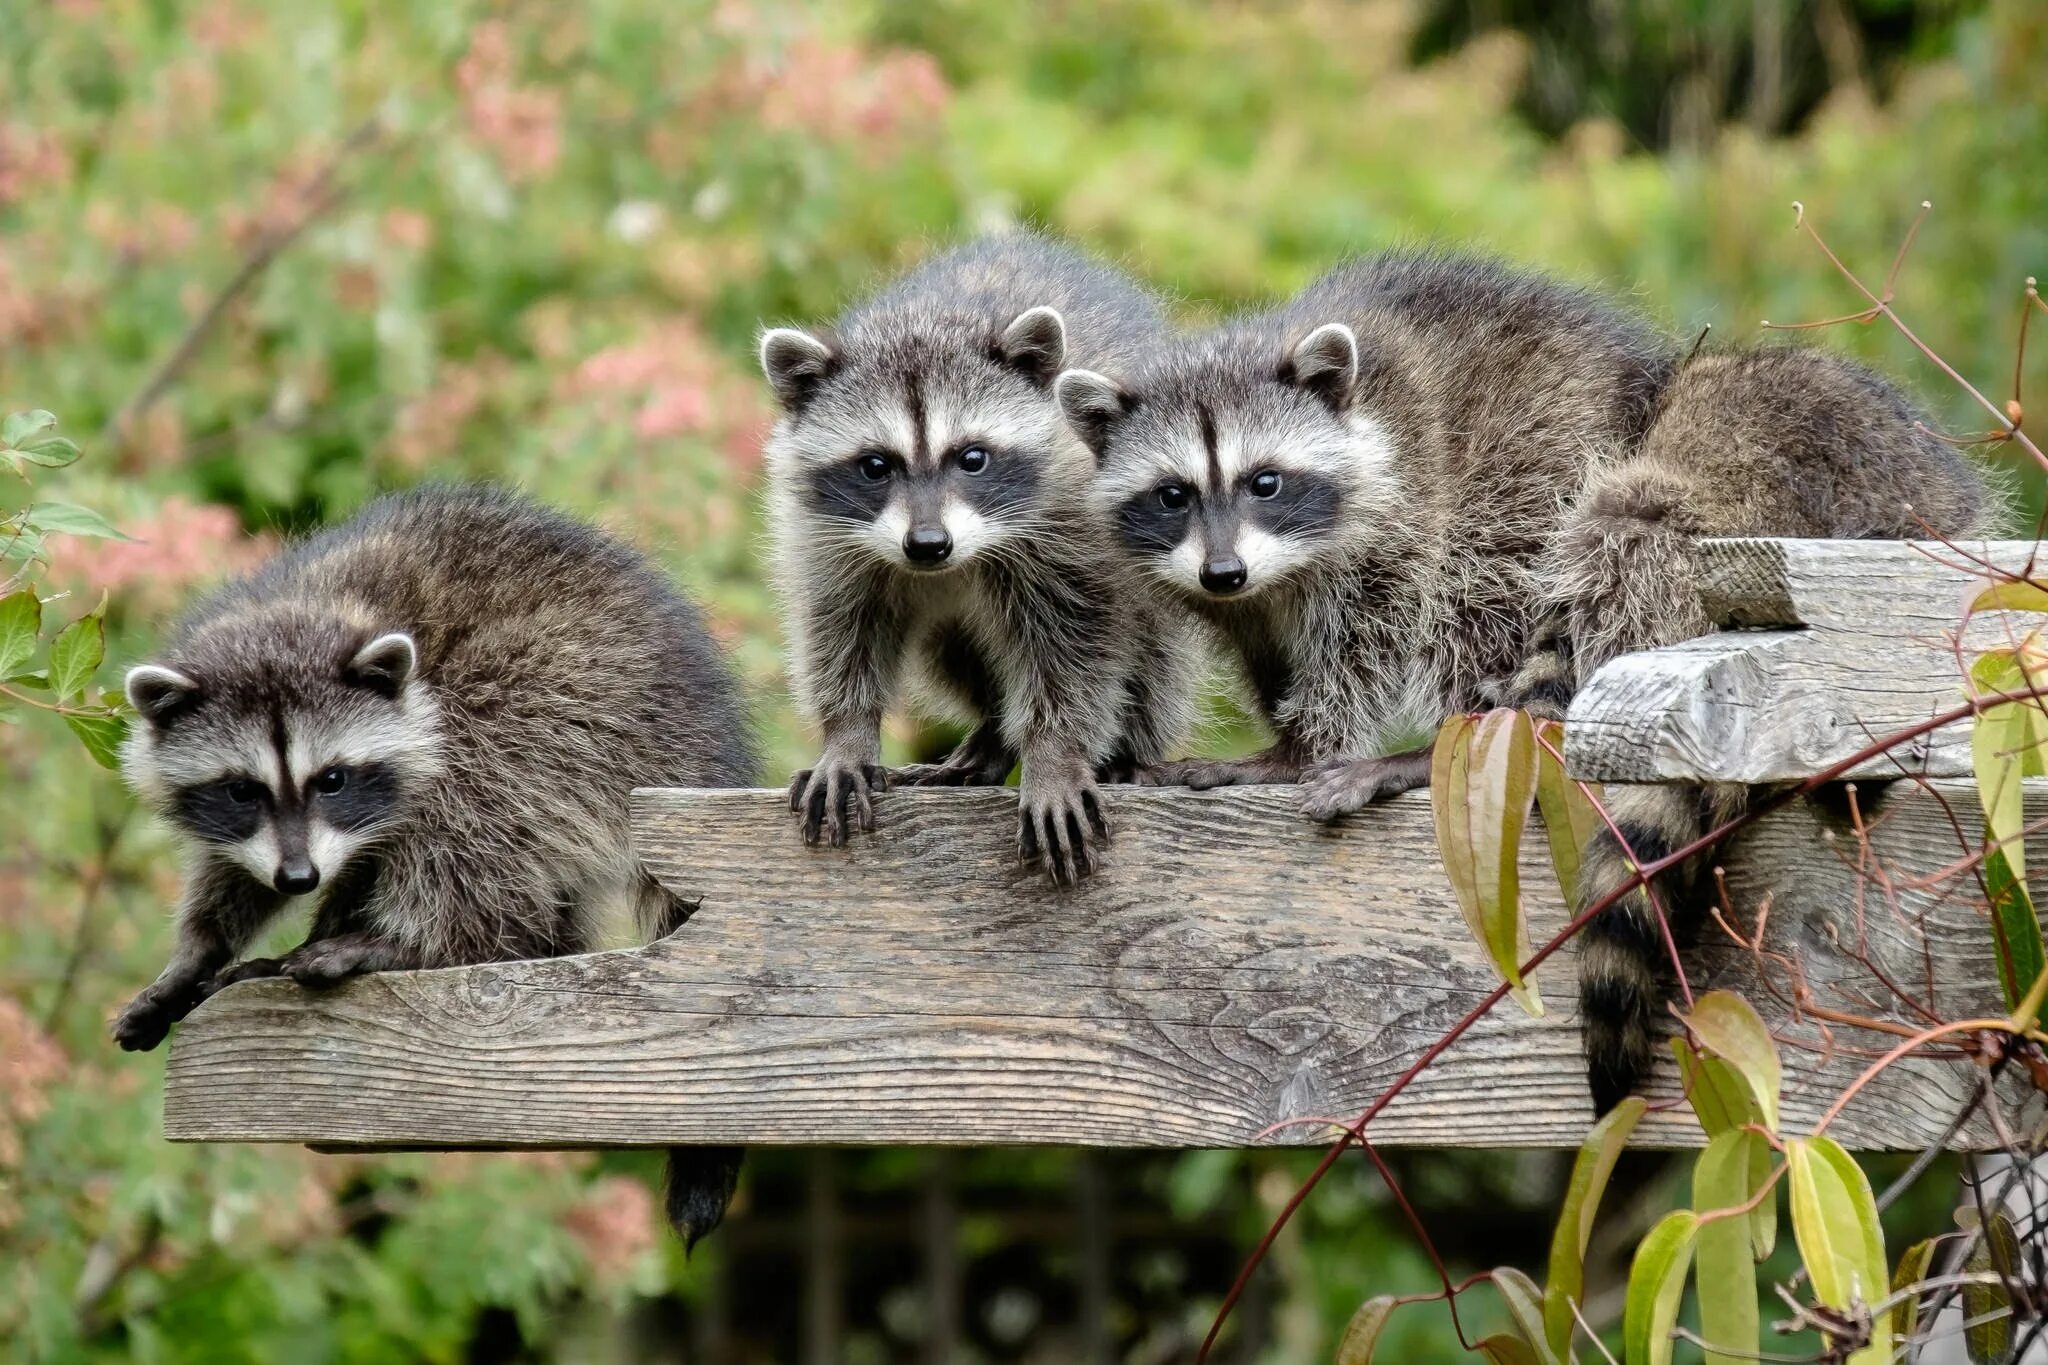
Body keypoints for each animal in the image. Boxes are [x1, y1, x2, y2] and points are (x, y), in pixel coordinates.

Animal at [114, 480, 753, 1252]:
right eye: (243, 790)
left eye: (332, 779)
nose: (299, 879)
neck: (311, 606)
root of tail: (701, 748)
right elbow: (234, 871)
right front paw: (198, 952)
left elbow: (448, 801)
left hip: (589, 702)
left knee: (478, 780)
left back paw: (427, 941)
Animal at [761, 235, 1196, 888]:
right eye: (875, 465)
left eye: (972, 458)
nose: (927, 543)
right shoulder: (824, 536)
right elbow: (840, 625)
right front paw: (847, 733)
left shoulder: (1073, 527)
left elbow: (1078, 643)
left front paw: (1054, 752)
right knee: (949, 650)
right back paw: (993, 732)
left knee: (1152, 653)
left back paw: (1123, 751)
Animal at [1056, 250, 1982, 1113]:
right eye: (1172, 495)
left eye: (1266, 481)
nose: (1223, 570)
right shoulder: (1242, 597)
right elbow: (1265, 647)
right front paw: (1282, 719)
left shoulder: (1411, 485)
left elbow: (1378, 619)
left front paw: (1304, 745)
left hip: (1628, 468)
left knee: (1519, 576)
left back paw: (1461, 732)